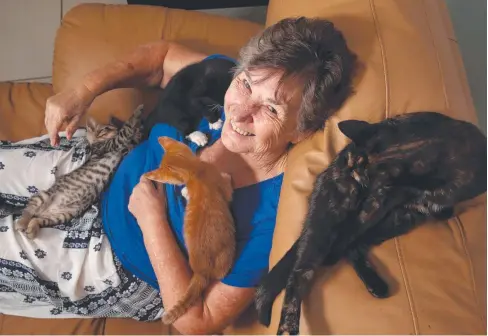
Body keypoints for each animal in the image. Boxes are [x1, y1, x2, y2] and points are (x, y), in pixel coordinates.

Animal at [15, 105, 144, 239]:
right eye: (106, 128)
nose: (116, 129)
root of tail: (46, 210)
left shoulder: (124, 149)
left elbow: (133, 140)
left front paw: (138, 130)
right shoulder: (111, 144)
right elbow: (126, 130)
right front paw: (137, 112)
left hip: (61, 216)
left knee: (37, 220)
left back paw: (32, 229)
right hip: (44, 197)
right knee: (28, 211)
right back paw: (21, 223)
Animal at [142, 136, 235, 326]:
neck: (195, 172)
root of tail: (201, 272)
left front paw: (185, 192)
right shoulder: (222, 186)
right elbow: (229, 190)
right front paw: (228, 176)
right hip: (227, 254)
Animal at [258, 111, 486, 334]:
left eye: (355, 168)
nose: (346, 170)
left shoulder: (389, 202)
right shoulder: (379, 201)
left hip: (395, 221)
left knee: (352, 245)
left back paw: (375, 284)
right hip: (327, 221)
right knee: (301, 271)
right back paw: (288, 325)